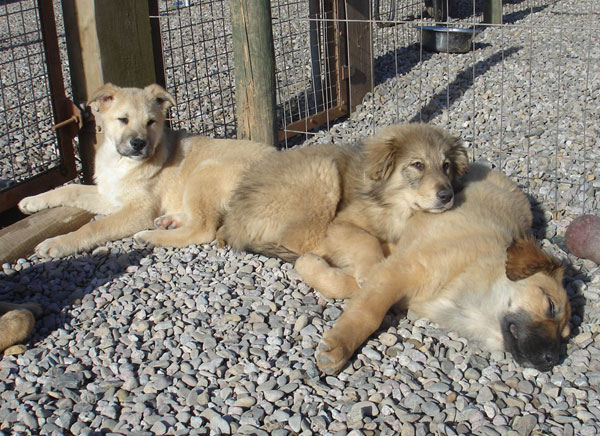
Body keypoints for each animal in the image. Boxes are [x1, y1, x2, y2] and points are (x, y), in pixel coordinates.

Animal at [18, 83, 272, 258]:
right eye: (123, 119)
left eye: (151, 122)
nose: (138, 144)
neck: (120, 163)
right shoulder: (109, 196)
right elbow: (71, 189)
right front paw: (31, 201)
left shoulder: (138, 210)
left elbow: (95, 226)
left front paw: (57, 244)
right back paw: (169, 221)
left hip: (206, 171)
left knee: (203, 229)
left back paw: (151, 237)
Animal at [314, 164, 572, 374]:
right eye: (551, 306)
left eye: (565, 334)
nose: (552, 360)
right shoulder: (398, 272)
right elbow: (367, 312)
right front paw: (340, 345)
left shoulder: (391, 273)